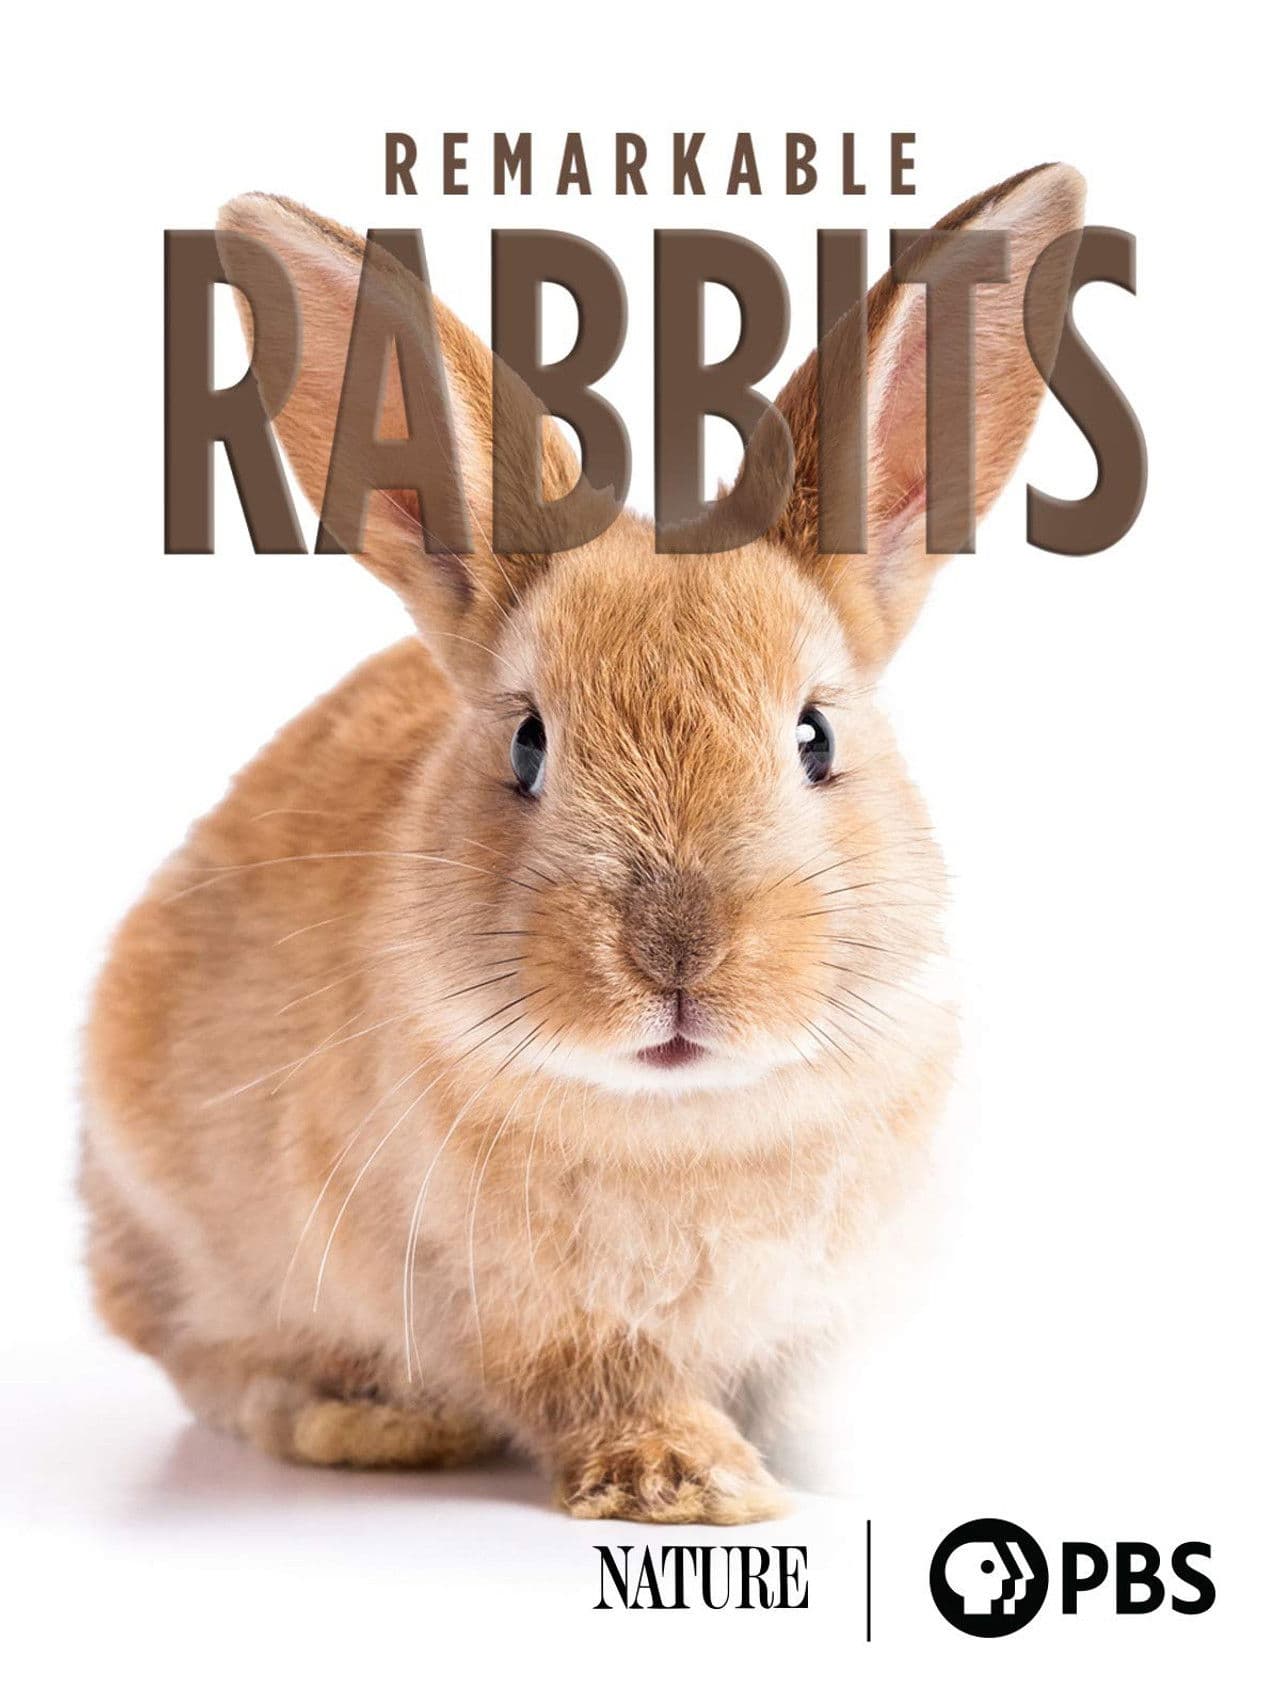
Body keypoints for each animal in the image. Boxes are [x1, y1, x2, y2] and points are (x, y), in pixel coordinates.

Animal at [81, 163, 1084, 1523]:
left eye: (815, 736)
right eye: (526, 746)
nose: (675, 954)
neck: (688, 1123)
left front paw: (842, 1460)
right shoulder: (519, 1314)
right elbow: (599, 1385)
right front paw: (690, 1484)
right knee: (212, 1362)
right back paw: (370, 1421)